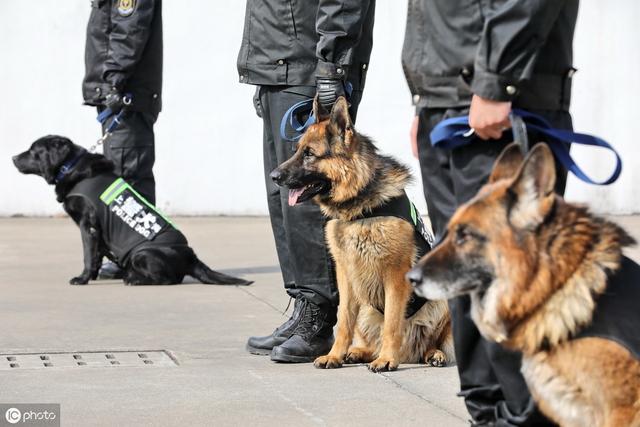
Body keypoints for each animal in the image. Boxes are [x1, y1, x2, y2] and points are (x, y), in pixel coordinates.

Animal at [13, 135, 252, 288]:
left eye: (33, 151)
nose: (13, 158)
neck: (71, 167)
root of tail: (191, 257)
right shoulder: (97, 232)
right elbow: (96, 255)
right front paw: (94, 275)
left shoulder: (88, 226)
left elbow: (88, 255)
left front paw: (82, 279)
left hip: (142, 254)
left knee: (169, 280)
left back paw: (134, 279)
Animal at [270, 97, 456, 372]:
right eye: (297, 150)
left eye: (309, 154)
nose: (273, 176)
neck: (359, 208)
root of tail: (410, 354)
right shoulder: (346, 276)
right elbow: (344, 322)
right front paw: (335, 355)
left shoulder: (396, 277)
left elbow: (392, 323)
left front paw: (387, 359)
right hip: (366, 307)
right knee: (371, 340)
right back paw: (357, 352)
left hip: (439, 302)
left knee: (433, 341)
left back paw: (432, 354)